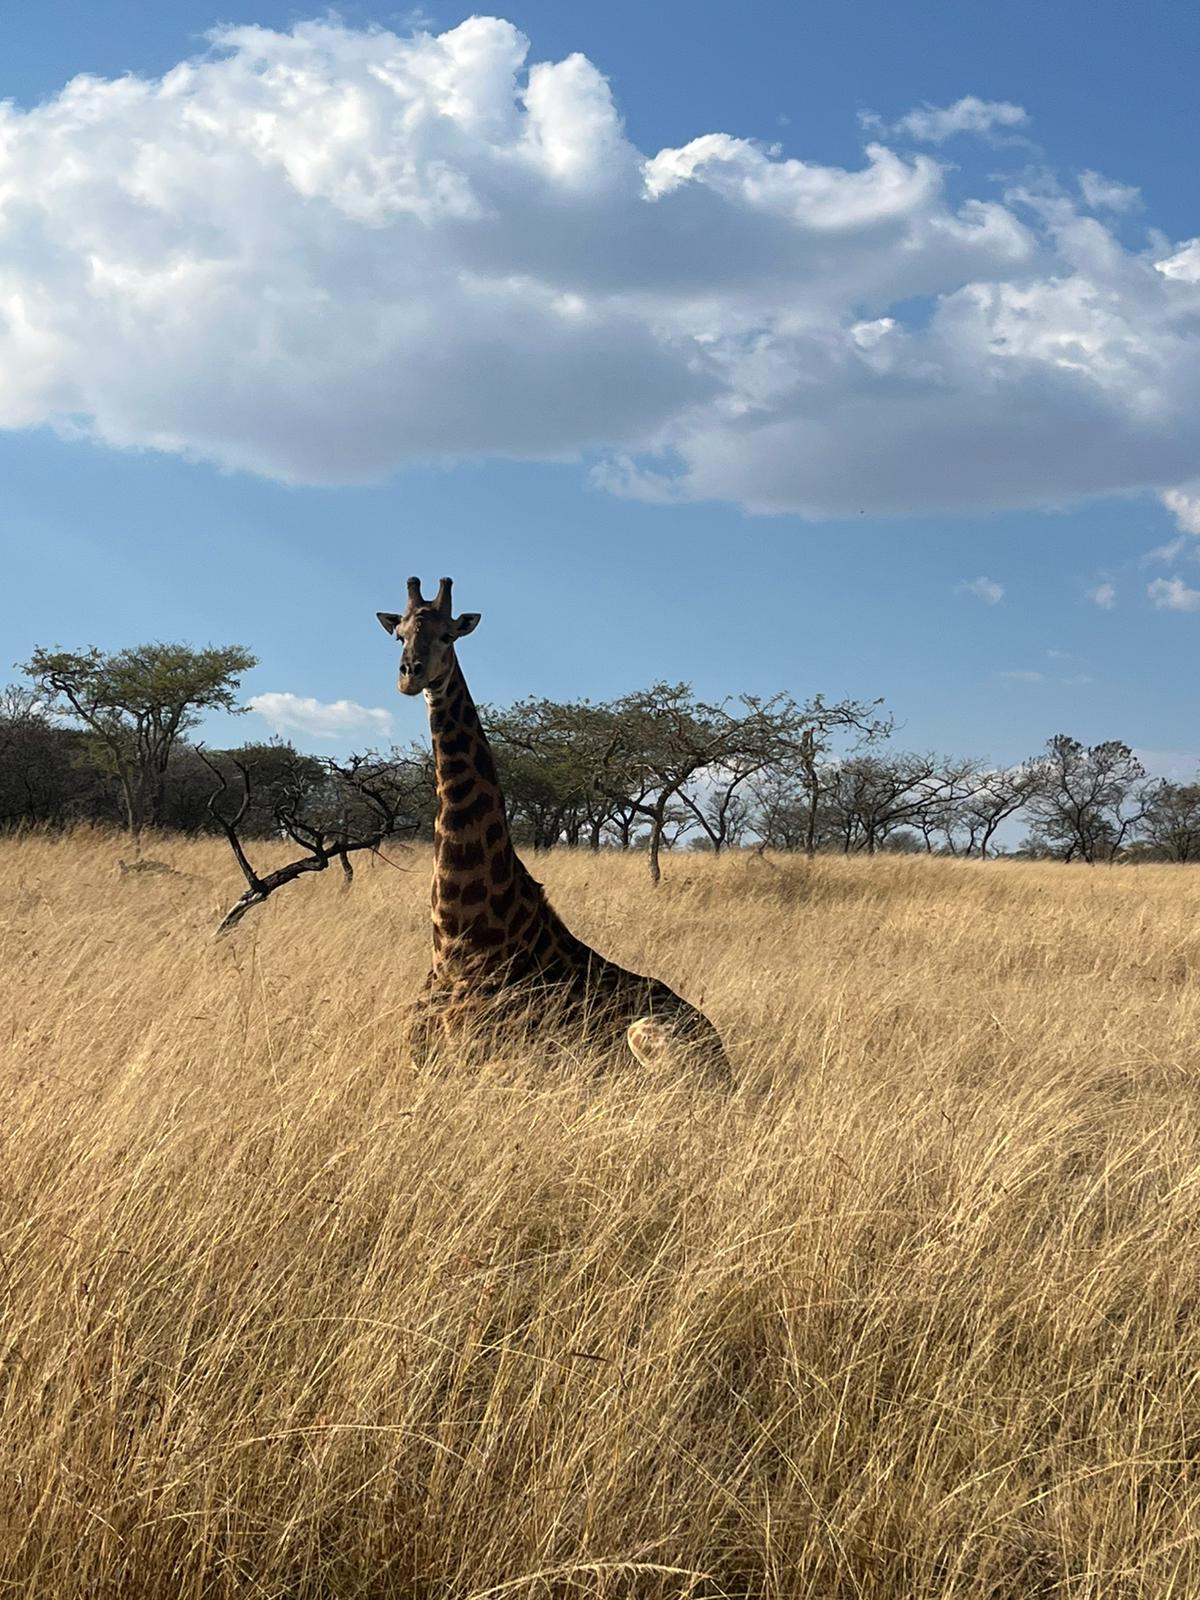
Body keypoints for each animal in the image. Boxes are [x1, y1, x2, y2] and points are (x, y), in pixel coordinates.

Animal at [377, 576, 732, 1086]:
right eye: (399, 635)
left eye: (448, 635)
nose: (410, 675)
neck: (455, 944)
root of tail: (727, 1058)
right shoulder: (412, 1056)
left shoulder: (487, 1062)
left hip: (647, 1036)